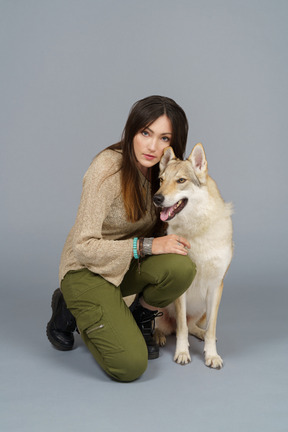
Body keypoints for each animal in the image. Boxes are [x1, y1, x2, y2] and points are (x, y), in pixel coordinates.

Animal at [152, 144, 233, 368]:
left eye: (181, 180)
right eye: (161, 180)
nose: (156, 198)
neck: (197, 230)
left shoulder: (216, 286)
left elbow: (211, 327)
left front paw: (211, 355)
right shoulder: (182, 290)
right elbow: (181, 329)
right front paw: (182, 353)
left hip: (202, 308)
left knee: (194, 326)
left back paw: (201, 334)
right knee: (165, 326)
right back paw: (158, 336)